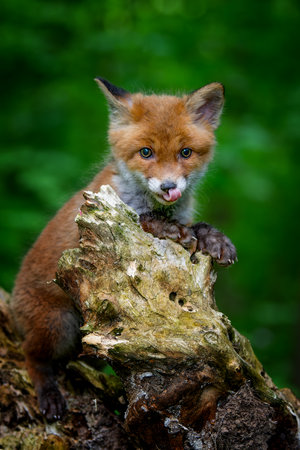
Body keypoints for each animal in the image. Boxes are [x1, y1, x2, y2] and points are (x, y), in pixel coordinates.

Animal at [11, 76, 237, 418]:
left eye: (185, 152)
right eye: (146, 152)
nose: (169, 187)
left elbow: (196, 227)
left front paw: (213, 239)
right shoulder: (89, 224)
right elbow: (144, 221)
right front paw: (168, 229)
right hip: (58, 325)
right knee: (32, 356)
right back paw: (48, 393)